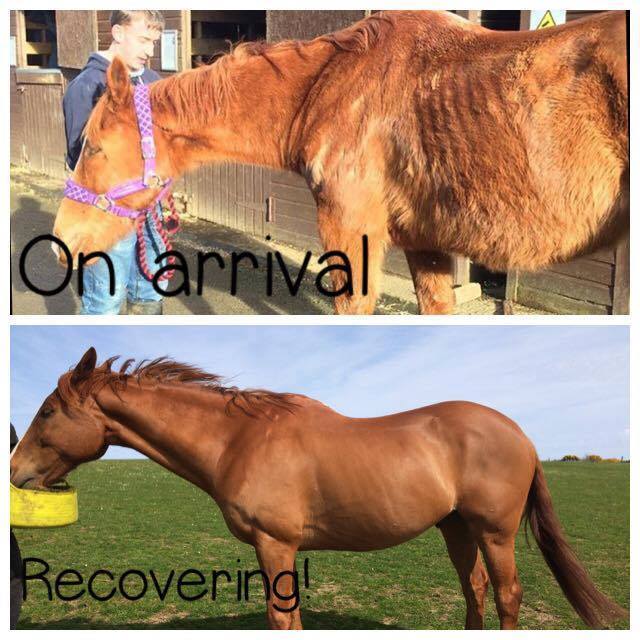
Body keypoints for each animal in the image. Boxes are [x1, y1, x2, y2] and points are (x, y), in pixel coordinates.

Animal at [11, 348, 632, 628]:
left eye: (47, 412)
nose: (15, 471)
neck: (239, 438)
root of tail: (520, 433)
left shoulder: (276, 544)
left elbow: (282, 616)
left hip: (495, 532)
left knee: (506, 595)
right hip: (457, 528)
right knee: (474, 590)